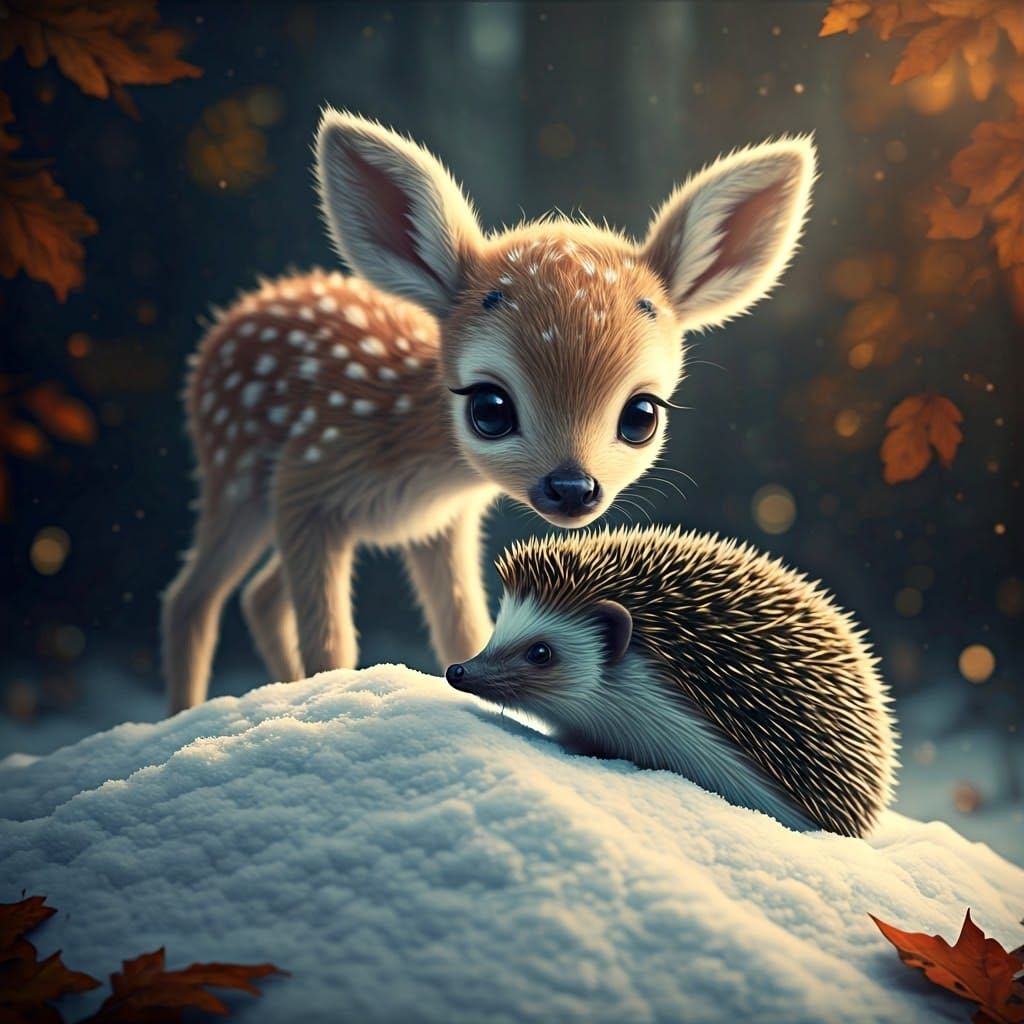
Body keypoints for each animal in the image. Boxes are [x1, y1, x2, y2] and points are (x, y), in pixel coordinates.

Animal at [162, 108, 816, 714]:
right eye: (491, 408)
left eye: (641, 414)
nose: (572, 488)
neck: (411, 457)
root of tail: (236, 313)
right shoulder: (306, 482)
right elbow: (332, 641)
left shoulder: (441, 524)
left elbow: (462, 625)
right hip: (236, 471)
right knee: (192, 596)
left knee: (258, 596)